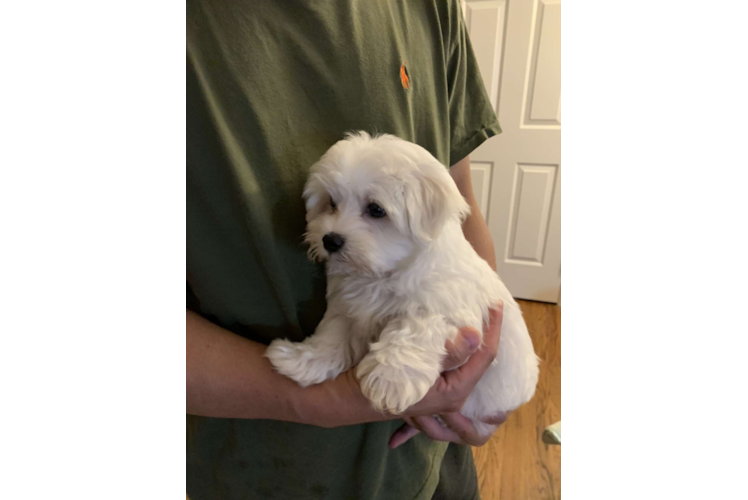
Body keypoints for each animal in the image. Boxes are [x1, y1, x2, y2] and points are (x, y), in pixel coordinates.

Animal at [268, 131, 536, 436]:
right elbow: (332, 335)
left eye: (376, 210)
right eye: (332, 203)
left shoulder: (454, 313)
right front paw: (301, 360)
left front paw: (390, 378)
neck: (385, 273)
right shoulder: (348, 307)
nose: (330, 240)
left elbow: (417, 325)